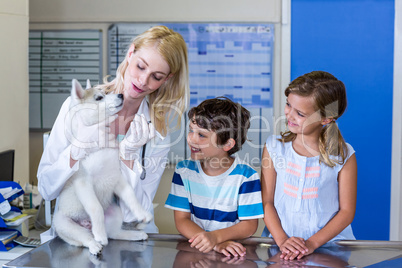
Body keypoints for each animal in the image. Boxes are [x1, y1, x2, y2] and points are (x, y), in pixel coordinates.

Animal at [53, 79, 152, 255]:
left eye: (106, 93)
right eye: (99, 98)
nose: (121, 95)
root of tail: (87, 224)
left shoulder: (116, 178)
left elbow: (131, 196)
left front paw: (142, 213)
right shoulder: (83, 183)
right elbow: (96, 208)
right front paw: (99, 235)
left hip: (115, 212)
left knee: (114, 233)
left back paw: (133, 234)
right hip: (63, 223)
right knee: (85, 238)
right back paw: (96, 242)